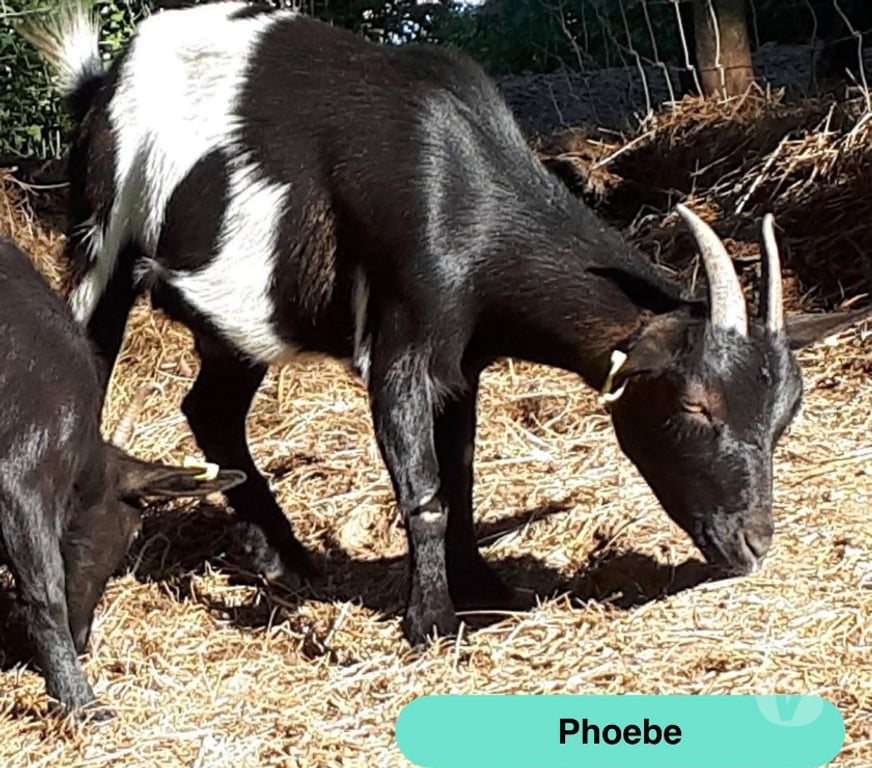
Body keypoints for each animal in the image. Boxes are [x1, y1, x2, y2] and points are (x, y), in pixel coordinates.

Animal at [22, 1, 863, 647]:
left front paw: (484, 587)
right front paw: (432, 623)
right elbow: (424, 488)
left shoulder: (465, 363)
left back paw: (285, 559)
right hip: (101, 241)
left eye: (783, 417)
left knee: (211, 409)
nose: (752, 546)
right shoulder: (400, 349)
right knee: (93, 358)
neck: (467, 196)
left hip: (242, 312)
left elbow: (459, 475)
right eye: (695, 404)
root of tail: (100, 83)